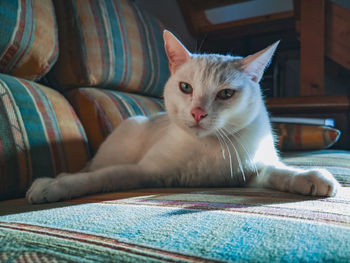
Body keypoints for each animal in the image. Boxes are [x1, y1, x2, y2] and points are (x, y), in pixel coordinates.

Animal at [26, 30, 340, 204]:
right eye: (186, 88)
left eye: (226, 94)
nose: (198, 112)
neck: (207, 147)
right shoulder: (141, 171)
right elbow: (100, 178)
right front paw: (54, 186)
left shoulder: (251, 173)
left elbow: (280, 172)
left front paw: (312, 178)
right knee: (91, 170)